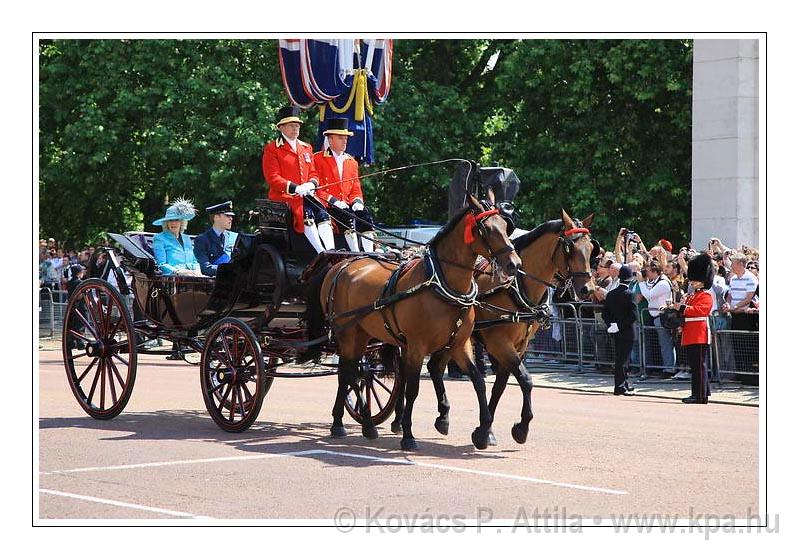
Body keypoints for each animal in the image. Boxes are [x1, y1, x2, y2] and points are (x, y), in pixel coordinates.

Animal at [308, 196, 524, 450]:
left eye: (505, 226)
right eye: (487, 229)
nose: (514, 264)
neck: (444, 286)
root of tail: (340, 265)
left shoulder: (459, 344)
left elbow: (479, 381)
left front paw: (482, 432)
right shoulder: (417, 346)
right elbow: (412, 389)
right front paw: (408, 435)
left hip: (360, 334)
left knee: (351, 373)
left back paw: (346, 423)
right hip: (348, 333)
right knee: (351, 374)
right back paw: (361, 424)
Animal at [390, 210, 596, 446]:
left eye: (591, 248)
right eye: (570, 247)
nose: (588, 289)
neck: (516, 287)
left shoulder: (519, 346)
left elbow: (500, 386)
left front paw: (485, 431)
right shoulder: (499, 343)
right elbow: (525, 380)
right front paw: (520, 428)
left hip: (451, 338)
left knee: (433, 367)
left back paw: (441, 418)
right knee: (405, 371)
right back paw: (399, 421)